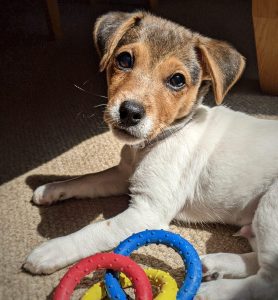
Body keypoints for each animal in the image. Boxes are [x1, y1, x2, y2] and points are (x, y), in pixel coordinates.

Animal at [23, 10, 278, 298]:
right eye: (124, 59)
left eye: (177, 80)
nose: (129, 112)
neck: (157, 140)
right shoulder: (122, 175)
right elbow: (86, 179)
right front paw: (52, 189)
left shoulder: (146, 212)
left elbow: (95, 229)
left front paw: (52, 250)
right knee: (259, 262)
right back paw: (216, 264)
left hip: (271, 205)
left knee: (268, 281)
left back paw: (212, 291)